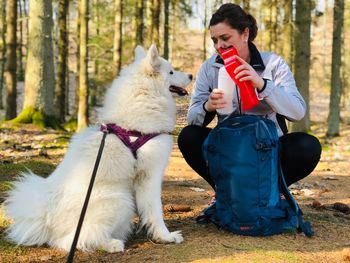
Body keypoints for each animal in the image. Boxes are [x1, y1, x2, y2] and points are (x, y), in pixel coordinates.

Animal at [4, 45, 193, 254]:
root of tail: (45, 218)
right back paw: (111, 244)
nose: (192, 75)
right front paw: (166, 236)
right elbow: (155, 210)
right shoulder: (149, 175)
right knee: (72, 240)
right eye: (171, 71)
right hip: (119, 200)